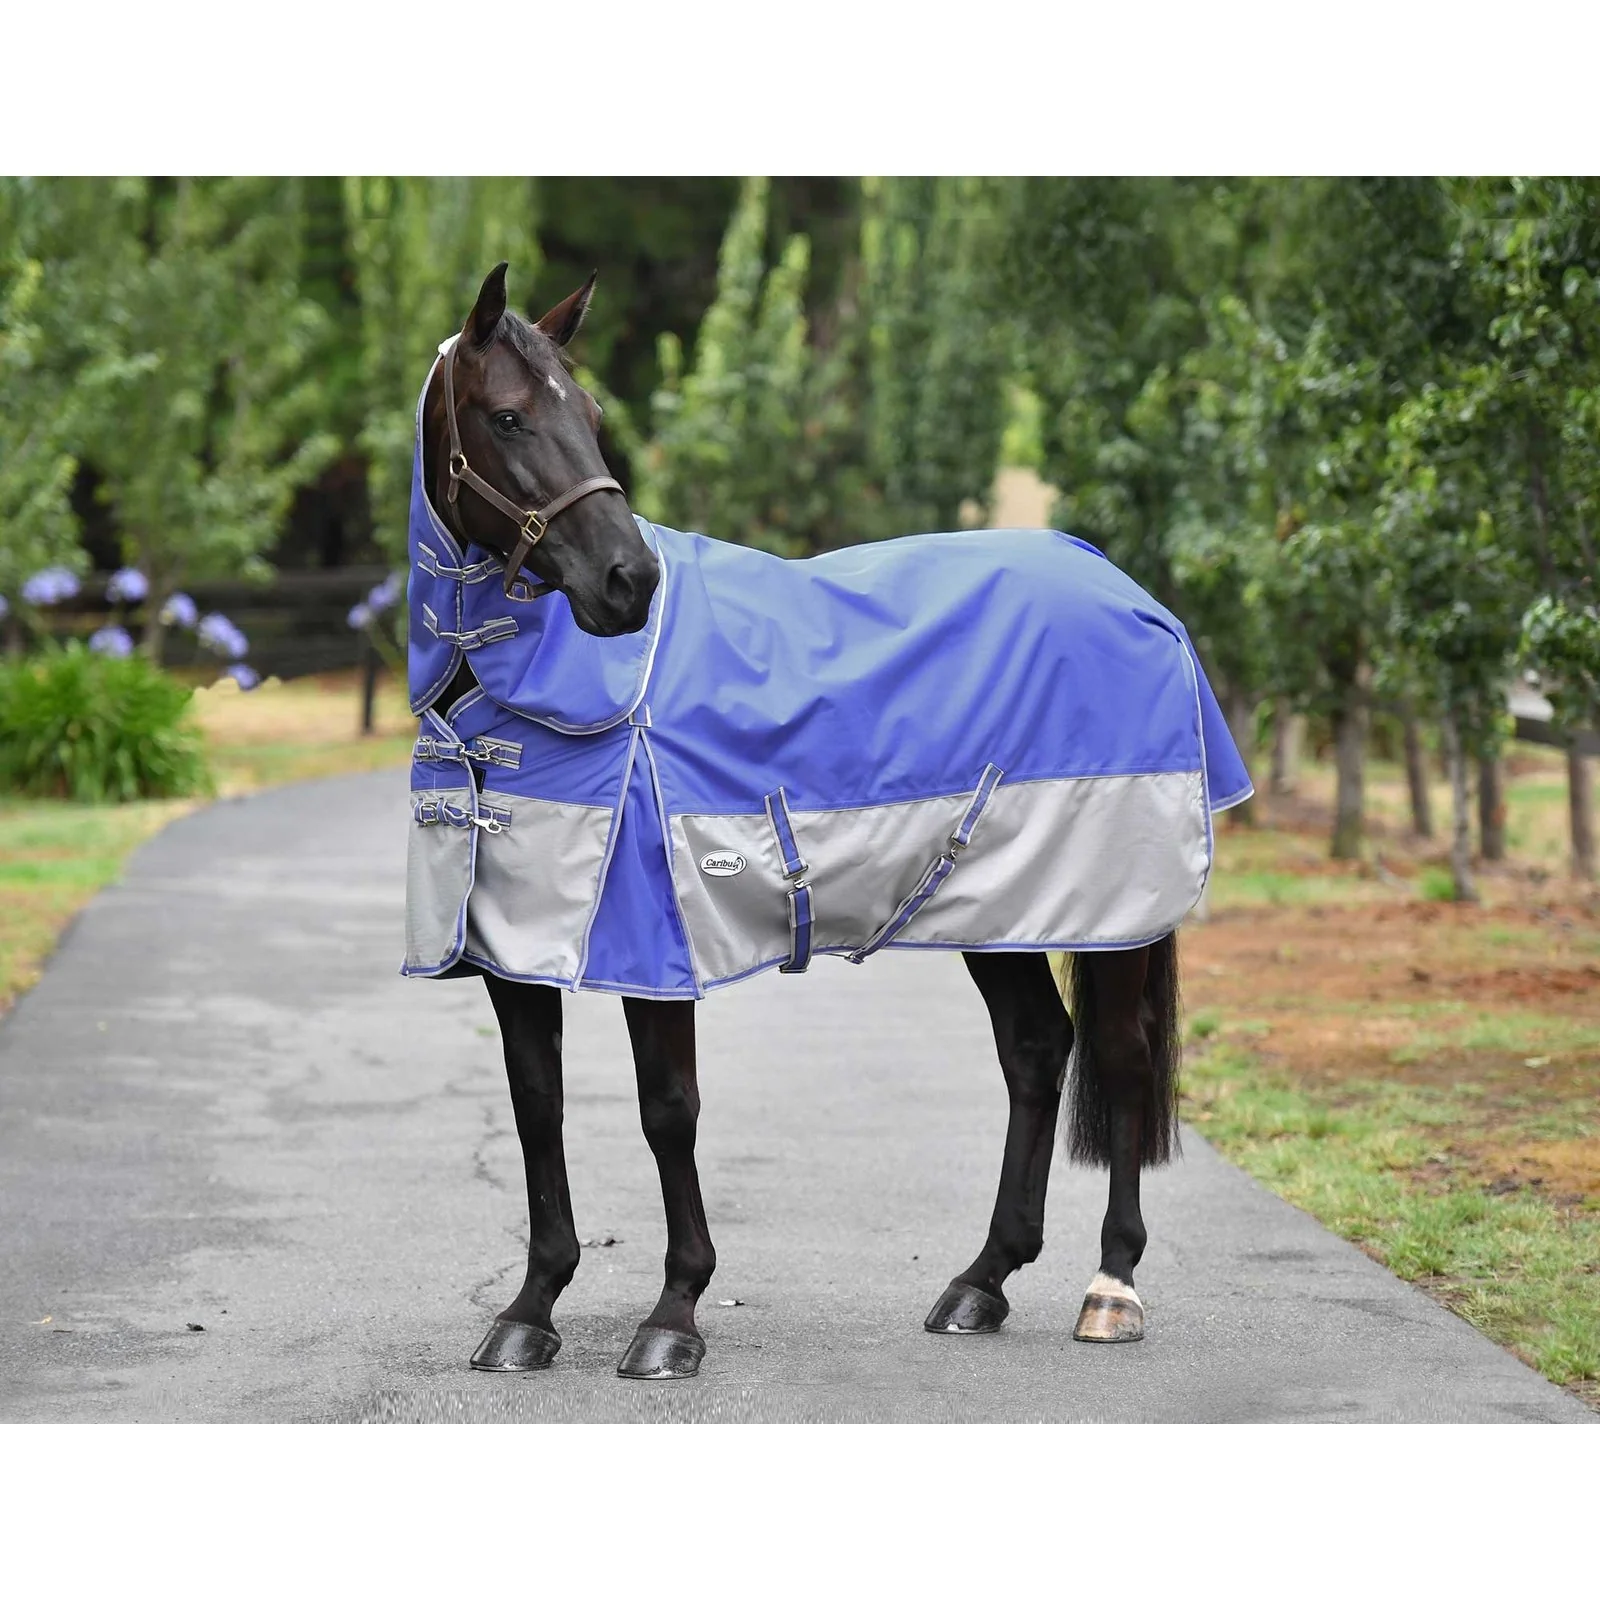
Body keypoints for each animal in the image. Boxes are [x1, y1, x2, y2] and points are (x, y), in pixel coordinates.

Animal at [407, 263, 1247, 1380]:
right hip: (997, 904)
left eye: (589, 416)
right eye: (508, 416)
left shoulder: (654, 941)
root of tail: (1129, 590)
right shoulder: (515, 947)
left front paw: (673, 1315)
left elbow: (667, 1110)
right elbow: (536, 1109)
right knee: (1036, 1049)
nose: (629, 583)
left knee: (1118, 1055)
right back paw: (981, 1283)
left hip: (1110, 906)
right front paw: (530, 1308)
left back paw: (1109, 1289)